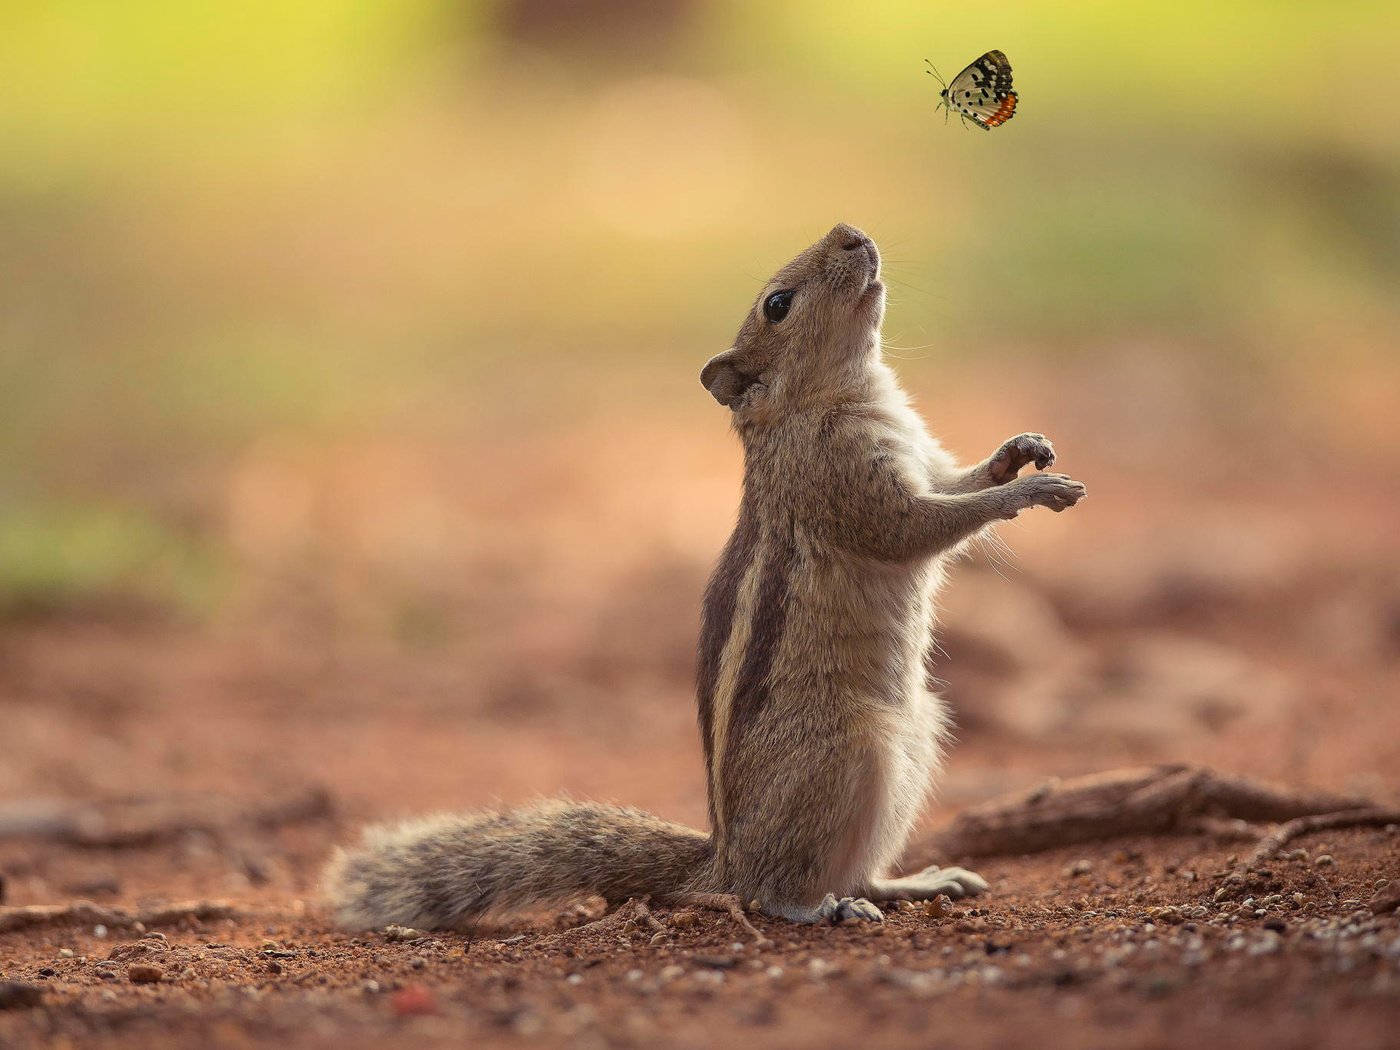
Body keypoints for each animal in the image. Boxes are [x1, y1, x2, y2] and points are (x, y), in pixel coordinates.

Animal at [322, 222, 1086, 929]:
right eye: (777, 304)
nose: (850, 232)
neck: (832, 397)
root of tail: (723, 857)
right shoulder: (846, 486)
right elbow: (919, 528)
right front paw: (1029, 491)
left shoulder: (924, 460)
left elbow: (959, 482)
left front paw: (1020, 452)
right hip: (851, 749)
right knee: (773, 890)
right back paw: (820, 907)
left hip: (919, 735)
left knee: (857, 868)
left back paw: (914, 884)